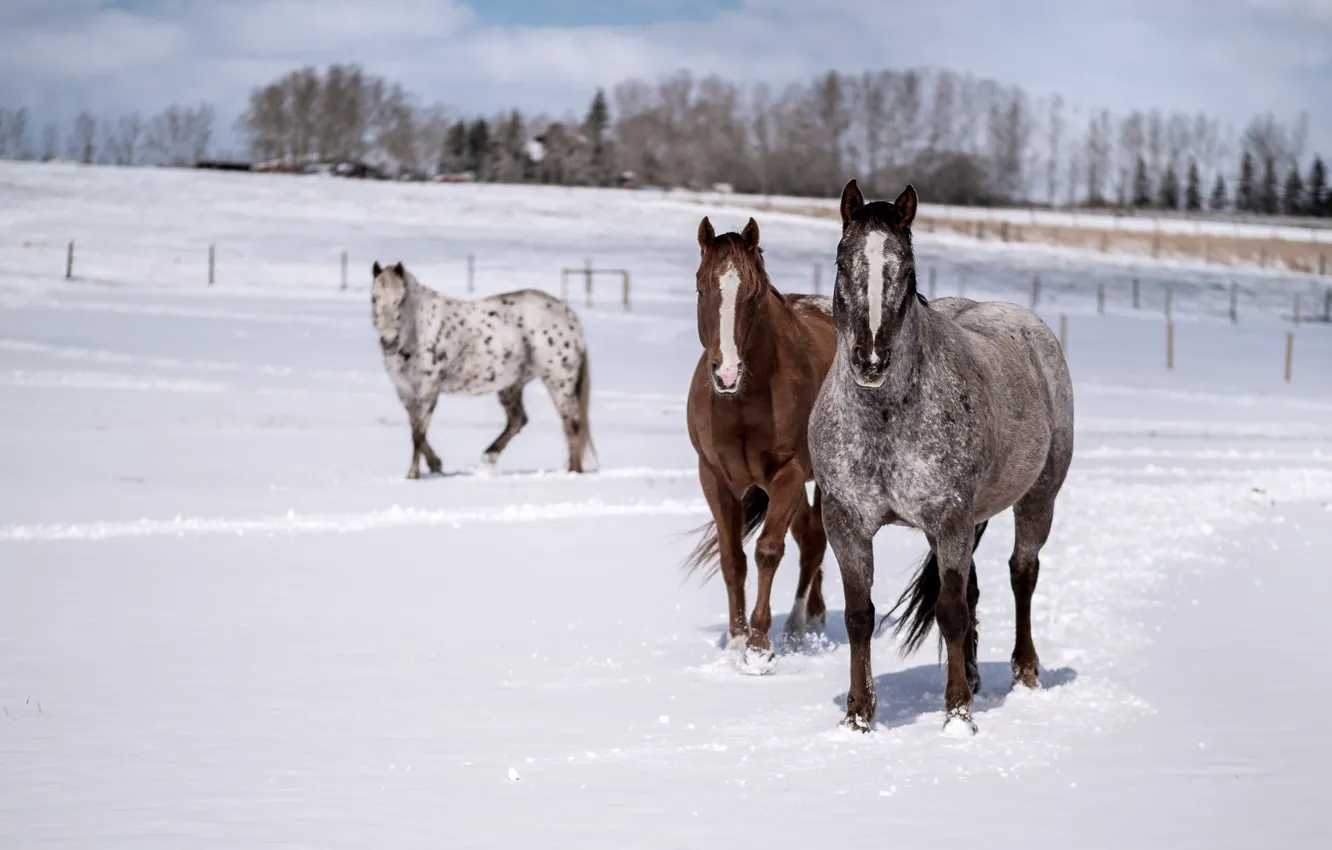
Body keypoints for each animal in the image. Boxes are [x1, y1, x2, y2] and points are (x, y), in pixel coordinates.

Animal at [370, 261, 593, 478]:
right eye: (374, 299)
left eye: (400, 300)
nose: (389, 342)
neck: (419, 331)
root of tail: (568, 315)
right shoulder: (405, 391)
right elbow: (415, 428)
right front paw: (436, 465)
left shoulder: (428, 389)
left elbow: (418, 433)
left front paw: (413, 474)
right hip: (511, 385)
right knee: (518, 420)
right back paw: (488, 458)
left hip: (559, 381)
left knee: (572, 423)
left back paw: (573, 472)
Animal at [684, 216, 838, 671]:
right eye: (701, 288)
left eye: (752, 296)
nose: (727, 374)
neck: (744, 401)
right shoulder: (714, 477)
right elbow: (732, 557)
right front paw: (736, 639)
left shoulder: (788, 474)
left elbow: (768, 550)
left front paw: (758, 646)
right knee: (809, 534)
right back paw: (812, 616)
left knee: (814, 540)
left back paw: (798, 626)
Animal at [808, 181, 1074, 732]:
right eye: (843, 262)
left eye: (907, 270)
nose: (871, 360)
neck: (885, 422)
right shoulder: (845, 522)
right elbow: (860, 616)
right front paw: (858, 717)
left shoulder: (949, 517)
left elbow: (951, 612)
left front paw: (957, 716)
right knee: (972, 590)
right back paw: (972, 675)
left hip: (1037, 498)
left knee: (1022, 574)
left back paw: (1025, 674)